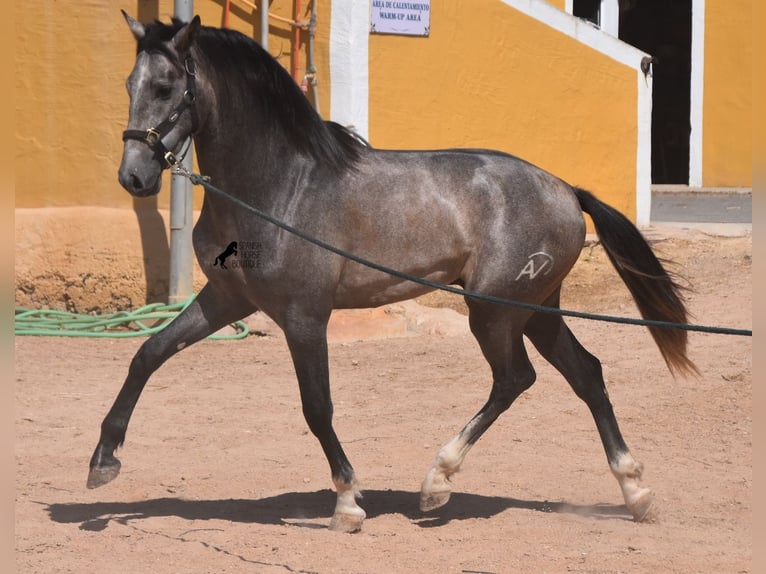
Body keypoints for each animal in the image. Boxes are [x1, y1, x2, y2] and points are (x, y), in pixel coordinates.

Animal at [87, 14, 700, 536]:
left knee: (514, 379)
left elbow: (317, 407)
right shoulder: (227, 300)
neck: (278, 186)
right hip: (535, 309)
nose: (134, 178)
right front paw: (103, 461)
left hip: (495, 309)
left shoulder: (304, 317)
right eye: (128, 84)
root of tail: (567, 190)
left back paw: (437, 483)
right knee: (586, 375)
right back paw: (635, 491)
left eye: (167, 86)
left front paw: (347, 503)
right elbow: (148, 354)